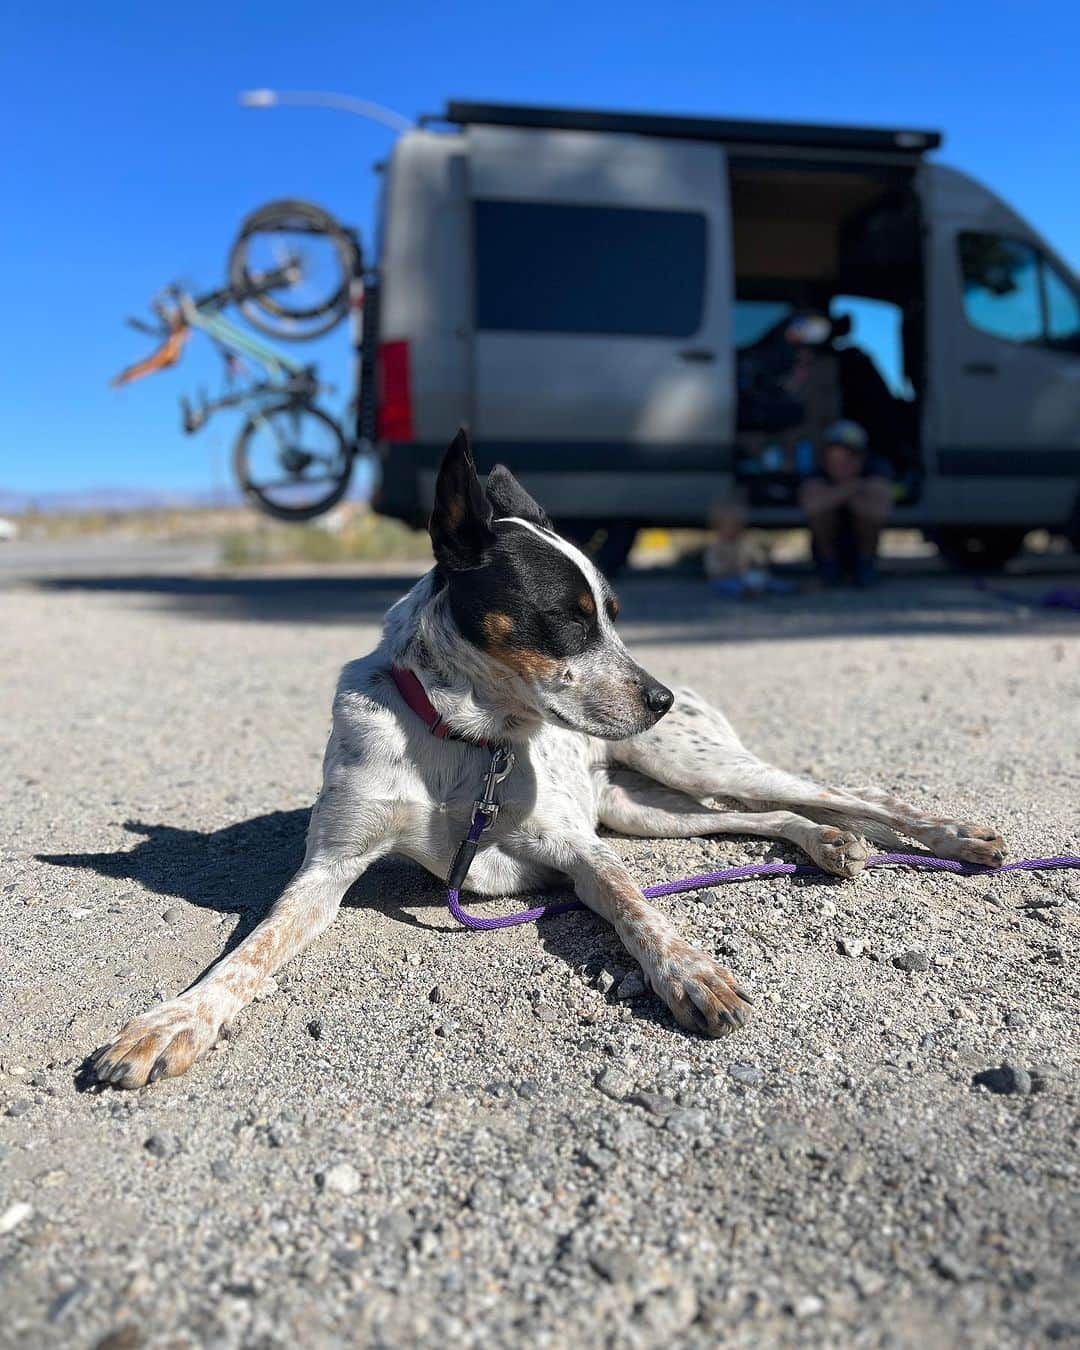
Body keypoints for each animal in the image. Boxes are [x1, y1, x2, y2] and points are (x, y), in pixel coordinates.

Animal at [88, 432, 1009, 1085]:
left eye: (615, 612)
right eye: (568, 616)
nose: (657, 696)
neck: (464, 741)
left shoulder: (580, 849)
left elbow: (639, 911)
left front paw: (689, 972)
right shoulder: (327, 871)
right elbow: (246, 956)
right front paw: (174, 1022)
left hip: (688, 768)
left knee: (851, 789)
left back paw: (951, 835)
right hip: (646, 808)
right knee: (771, 816)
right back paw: (827, 844)